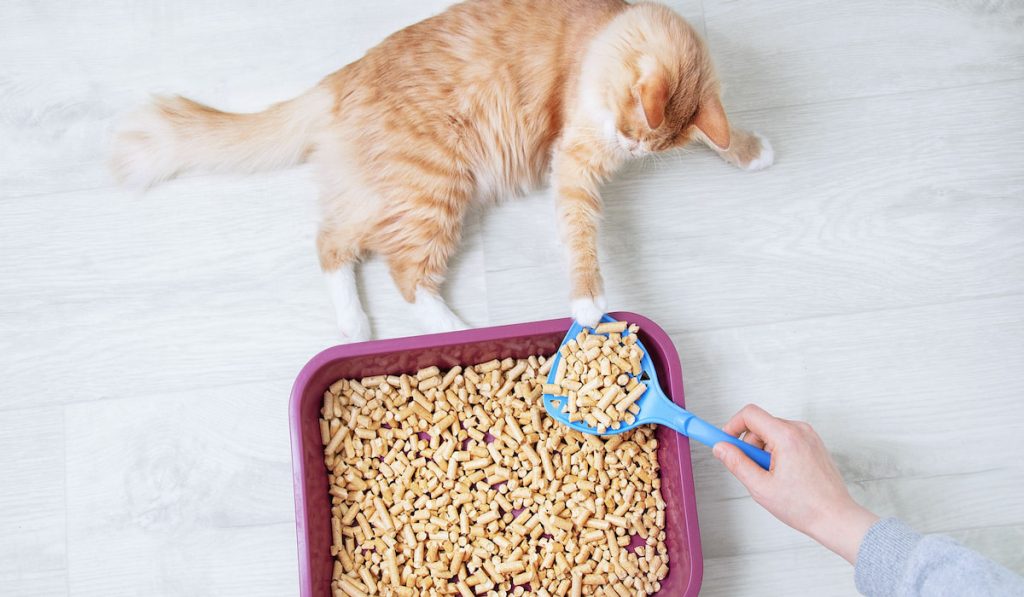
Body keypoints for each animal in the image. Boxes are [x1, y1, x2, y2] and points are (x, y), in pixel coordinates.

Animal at [110, 0, 770, 344]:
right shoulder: (575, 161)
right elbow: (582, 235)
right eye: (630, 128)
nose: (628, 147)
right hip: (435, 187)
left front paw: (755, 149)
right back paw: (457, 330)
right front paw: (588, 305)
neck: (604, 32)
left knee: (332, 245)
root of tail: (341, 78)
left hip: (384, 193)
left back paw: (356, 327)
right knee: (406, 278)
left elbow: (723, 132)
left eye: (641, 144)